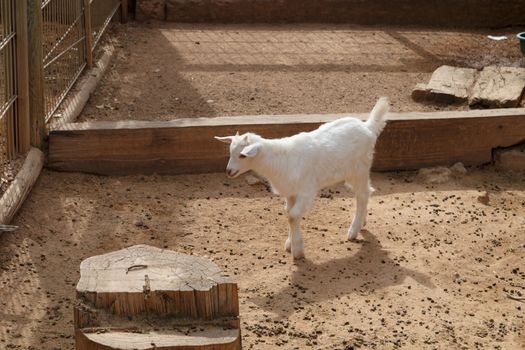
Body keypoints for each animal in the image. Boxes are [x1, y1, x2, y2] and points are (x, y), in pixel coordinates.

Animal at [214, 97, 388, 258]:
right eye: (230, 151)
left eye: (242, 155)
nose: (229, 171)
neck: (279, 160)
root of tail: (368, 126)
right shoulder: (290, 193)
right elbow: (289, 213)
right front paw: (289, 243)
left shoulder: (306, 191)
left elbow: (293, 216)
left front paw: (297, 249)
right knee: (366, 191)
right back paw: (362, 223)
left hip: (359, 169)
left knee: (363, 194)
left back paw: (353, 230)